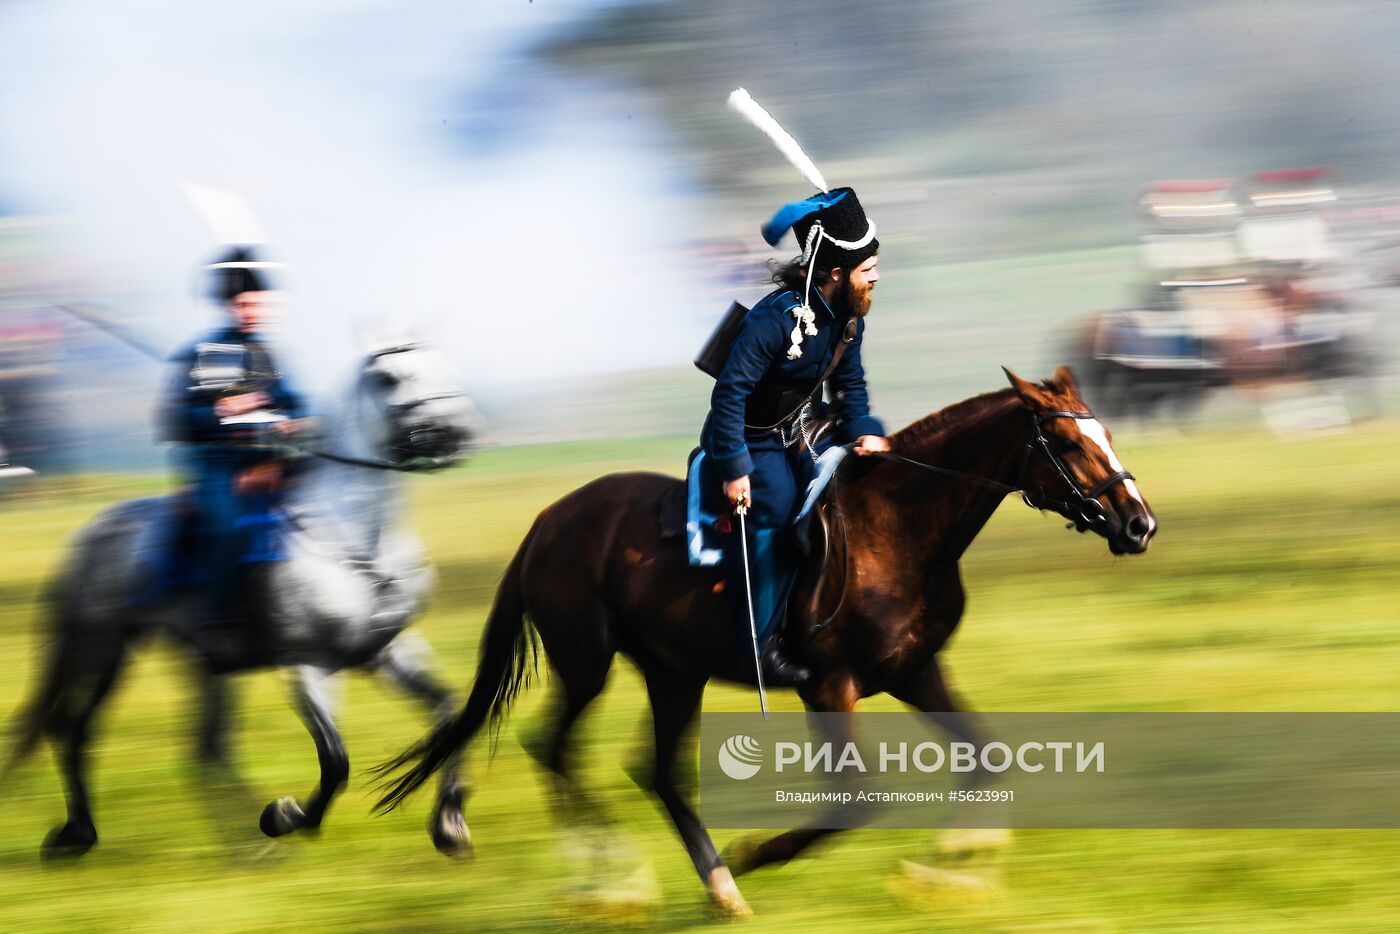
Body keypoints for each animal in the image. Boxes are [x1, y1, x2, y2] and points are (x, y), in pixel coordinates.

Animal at [4, 340, 476, 856]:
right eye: (388, 378)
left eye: (441, 364)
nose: (454, 437)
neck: (353, 536)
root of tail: (90, 534)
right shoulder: (309, 664)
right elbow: (336, 760)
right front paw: (284, 816)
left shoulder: (386, 651)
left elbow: (453, 713)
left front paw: (449, 823)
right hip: (103, 647)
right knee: (73, 729)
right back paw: (78, 833)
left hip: (196, 664)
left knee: (204, 746)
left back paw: (240, 843)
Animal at [375, 369, 1159, 918]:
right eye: (1067, 443)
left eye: (1107, 436)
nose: (1139, 523)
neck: (898, 531)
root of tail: (547, 522)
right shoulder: (829, 686)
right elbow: (855, 802)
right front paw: (760, 852)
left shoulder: (915, 670)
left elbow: (987, 758)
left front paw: (953, 864)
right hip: (587, 663)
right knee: (556, 748)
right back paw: (621, 882)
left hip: (673, 673)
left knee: (657, 772)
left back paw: (718, 889)